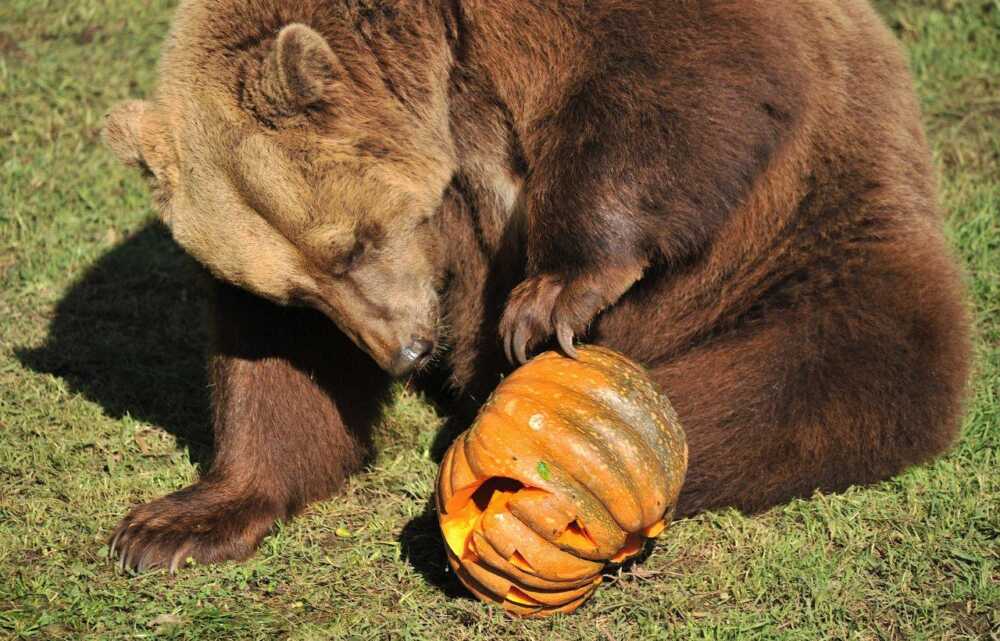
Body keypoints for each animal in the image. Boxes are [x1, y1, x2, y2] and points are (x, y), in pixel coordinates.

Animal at [102, 0, 972, 574]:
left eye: (354, 243)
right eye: (303, 289)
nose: (404, 350)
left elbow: (684, 70)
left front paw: (553, 294)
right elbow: (273, 366)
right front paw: (172, 524)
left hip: (816, 237)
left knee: (808, 374)